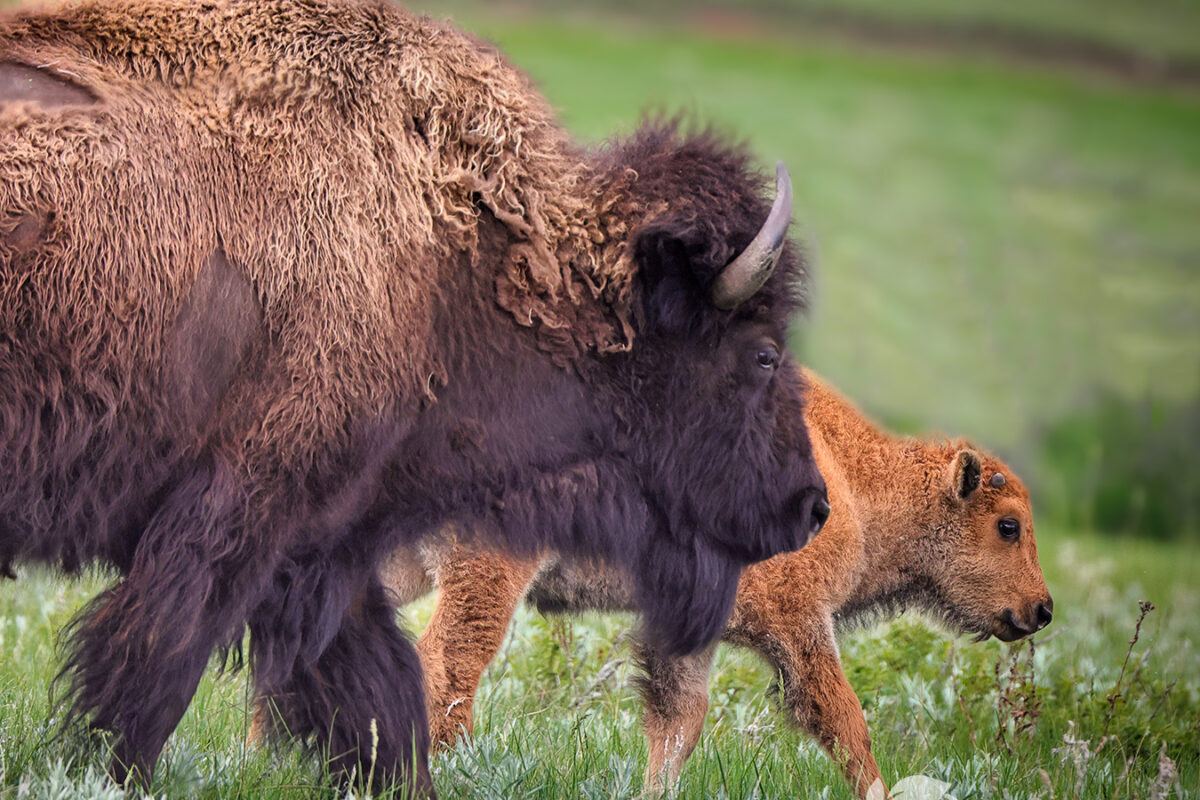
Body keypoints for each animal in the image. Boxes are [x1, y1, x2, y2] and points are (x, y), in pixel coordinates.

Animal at [0, 0, 825, 791]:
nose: (811, 505)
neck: (458, 256)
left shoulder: (323, 547)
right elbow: (153, 675)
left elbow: (382, 703)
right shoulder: (240, 515)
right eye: (762, 354)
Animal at [396, 371, 1051, 796]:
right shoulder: (800, 623)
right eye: (1008, 525)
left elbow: (677, 728)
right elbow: (847, 724)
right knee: (446, 667)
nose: (1042, 609)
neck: (854, 476)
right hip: (490, 571)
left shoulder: (689, 638)